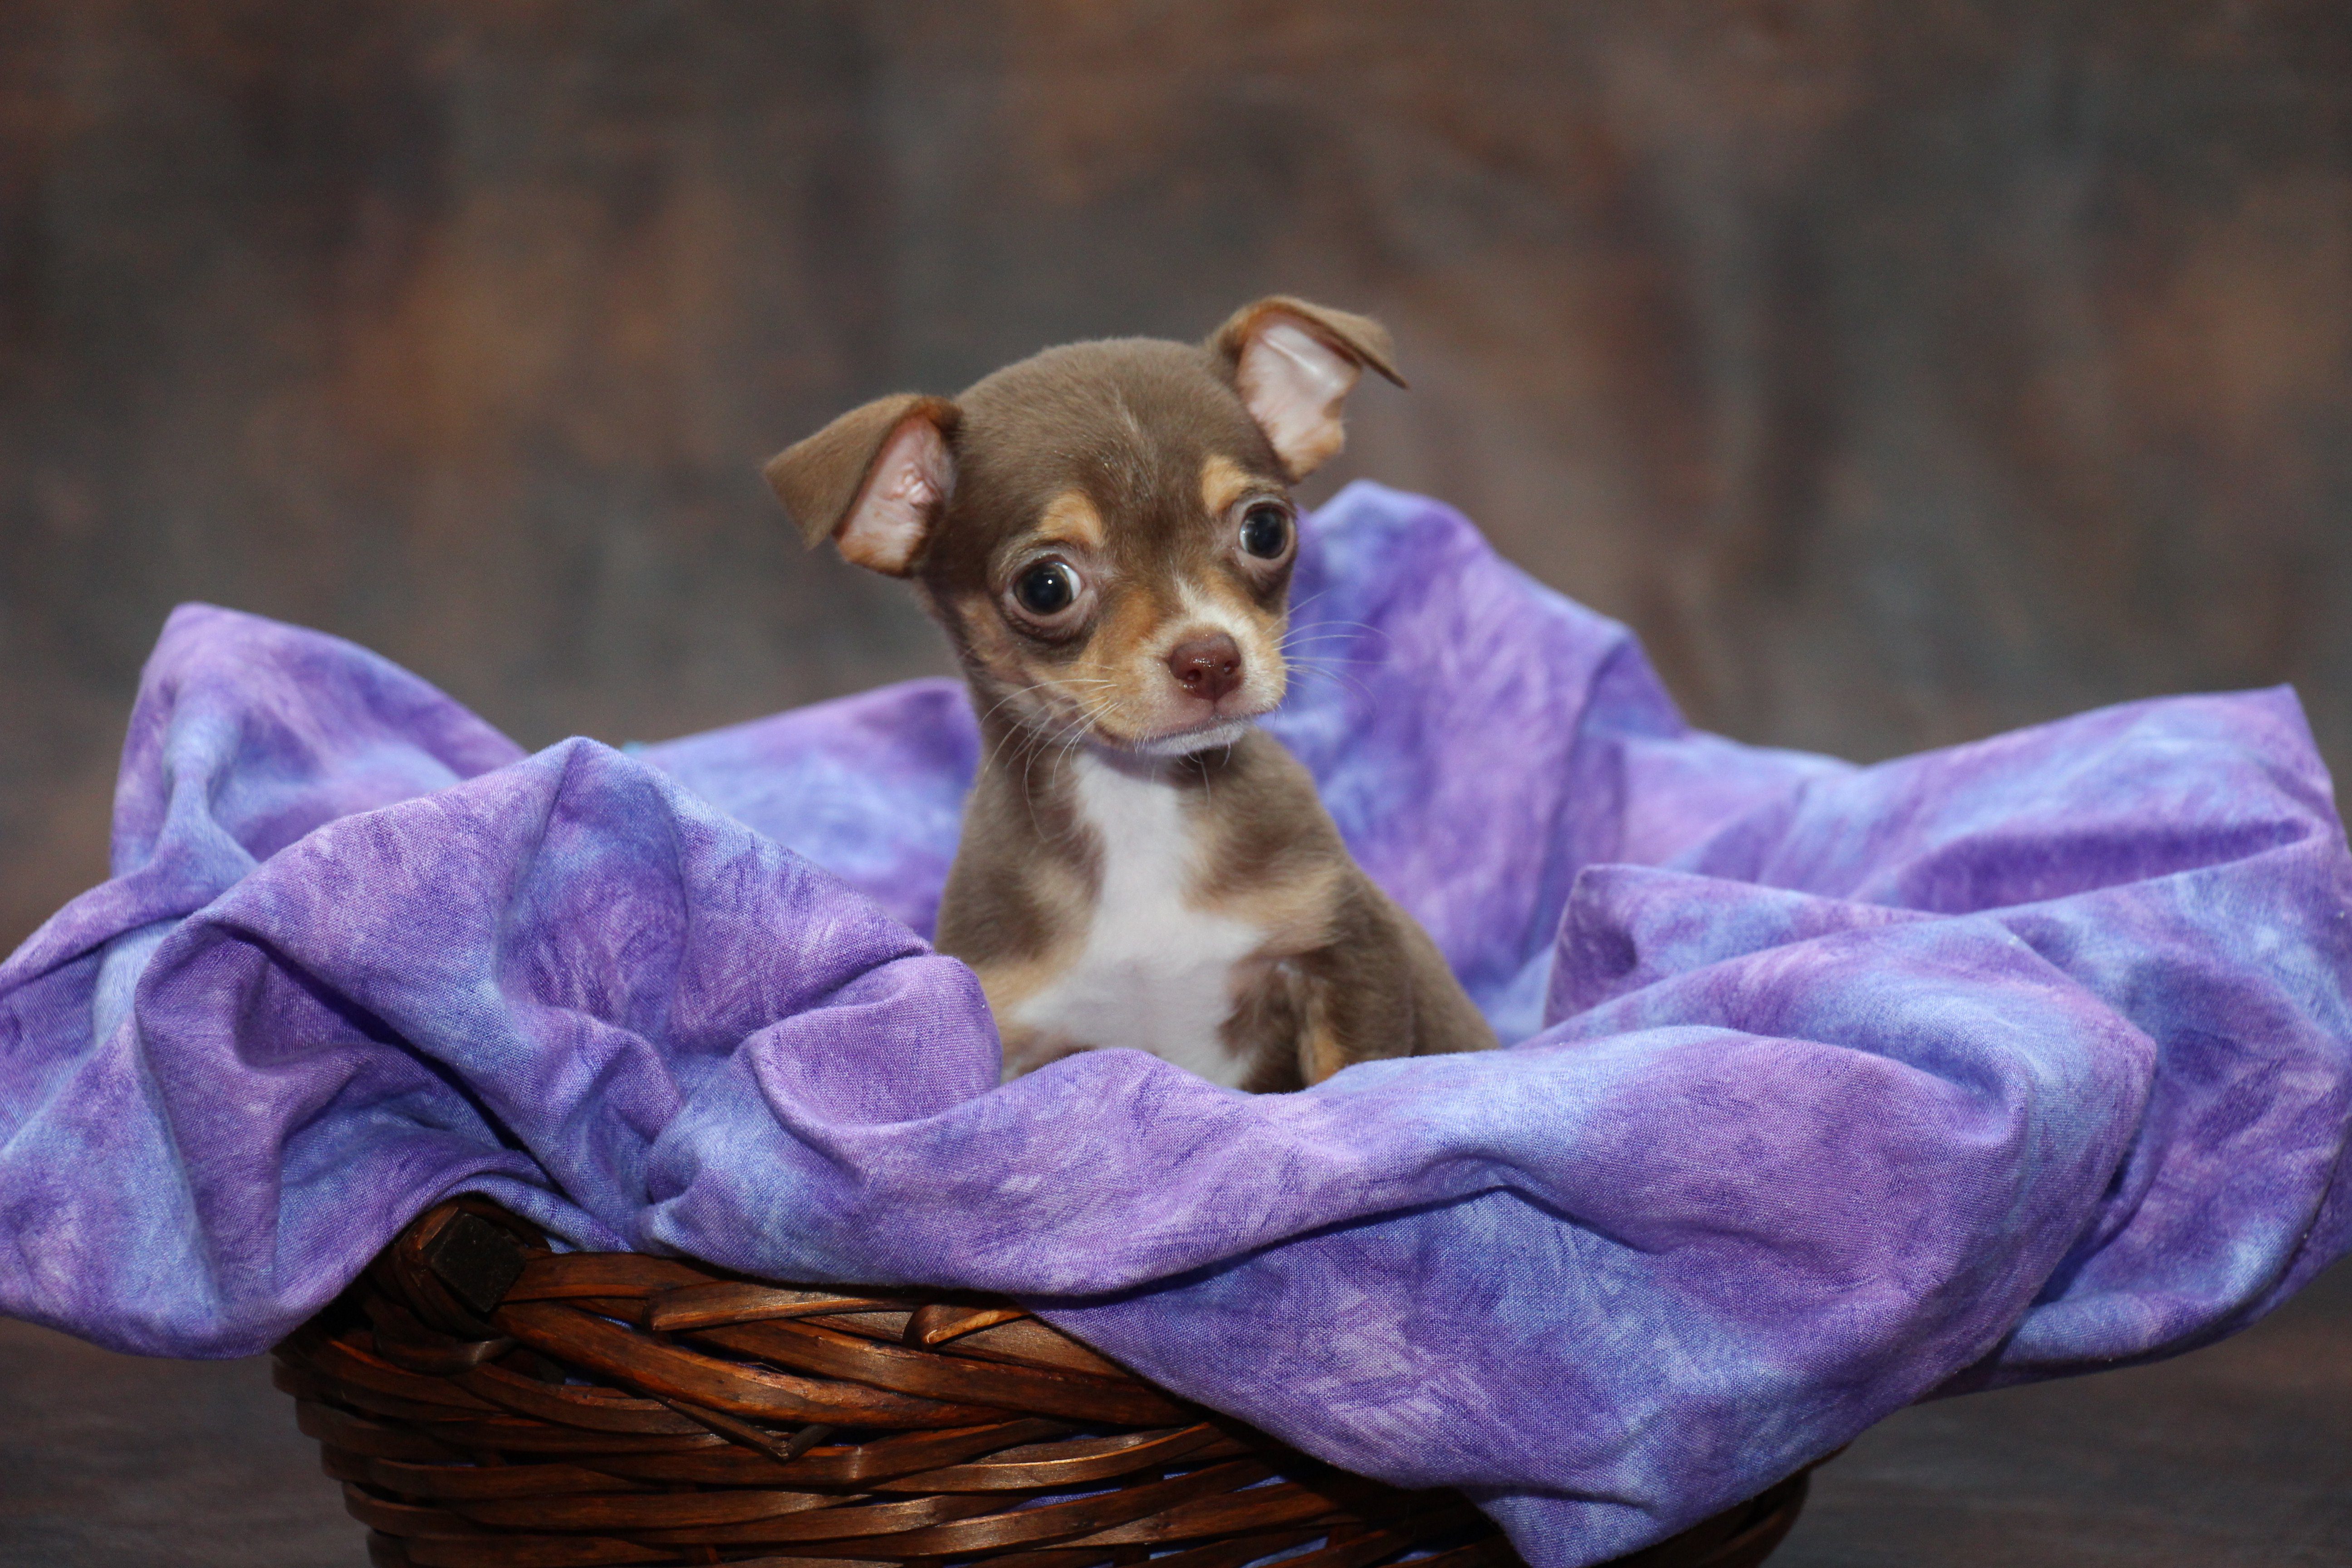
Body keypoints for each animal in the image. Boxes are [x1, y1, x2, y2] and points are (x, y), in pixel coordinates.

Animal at [771, 297, 1505, 1091]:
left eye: (1266, 529)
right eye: (1046, 586)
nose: (1210, 658)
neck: (1137, 801)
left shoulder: (1345, 955)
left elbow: (1355, 1080)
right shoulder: (1015, 1037)